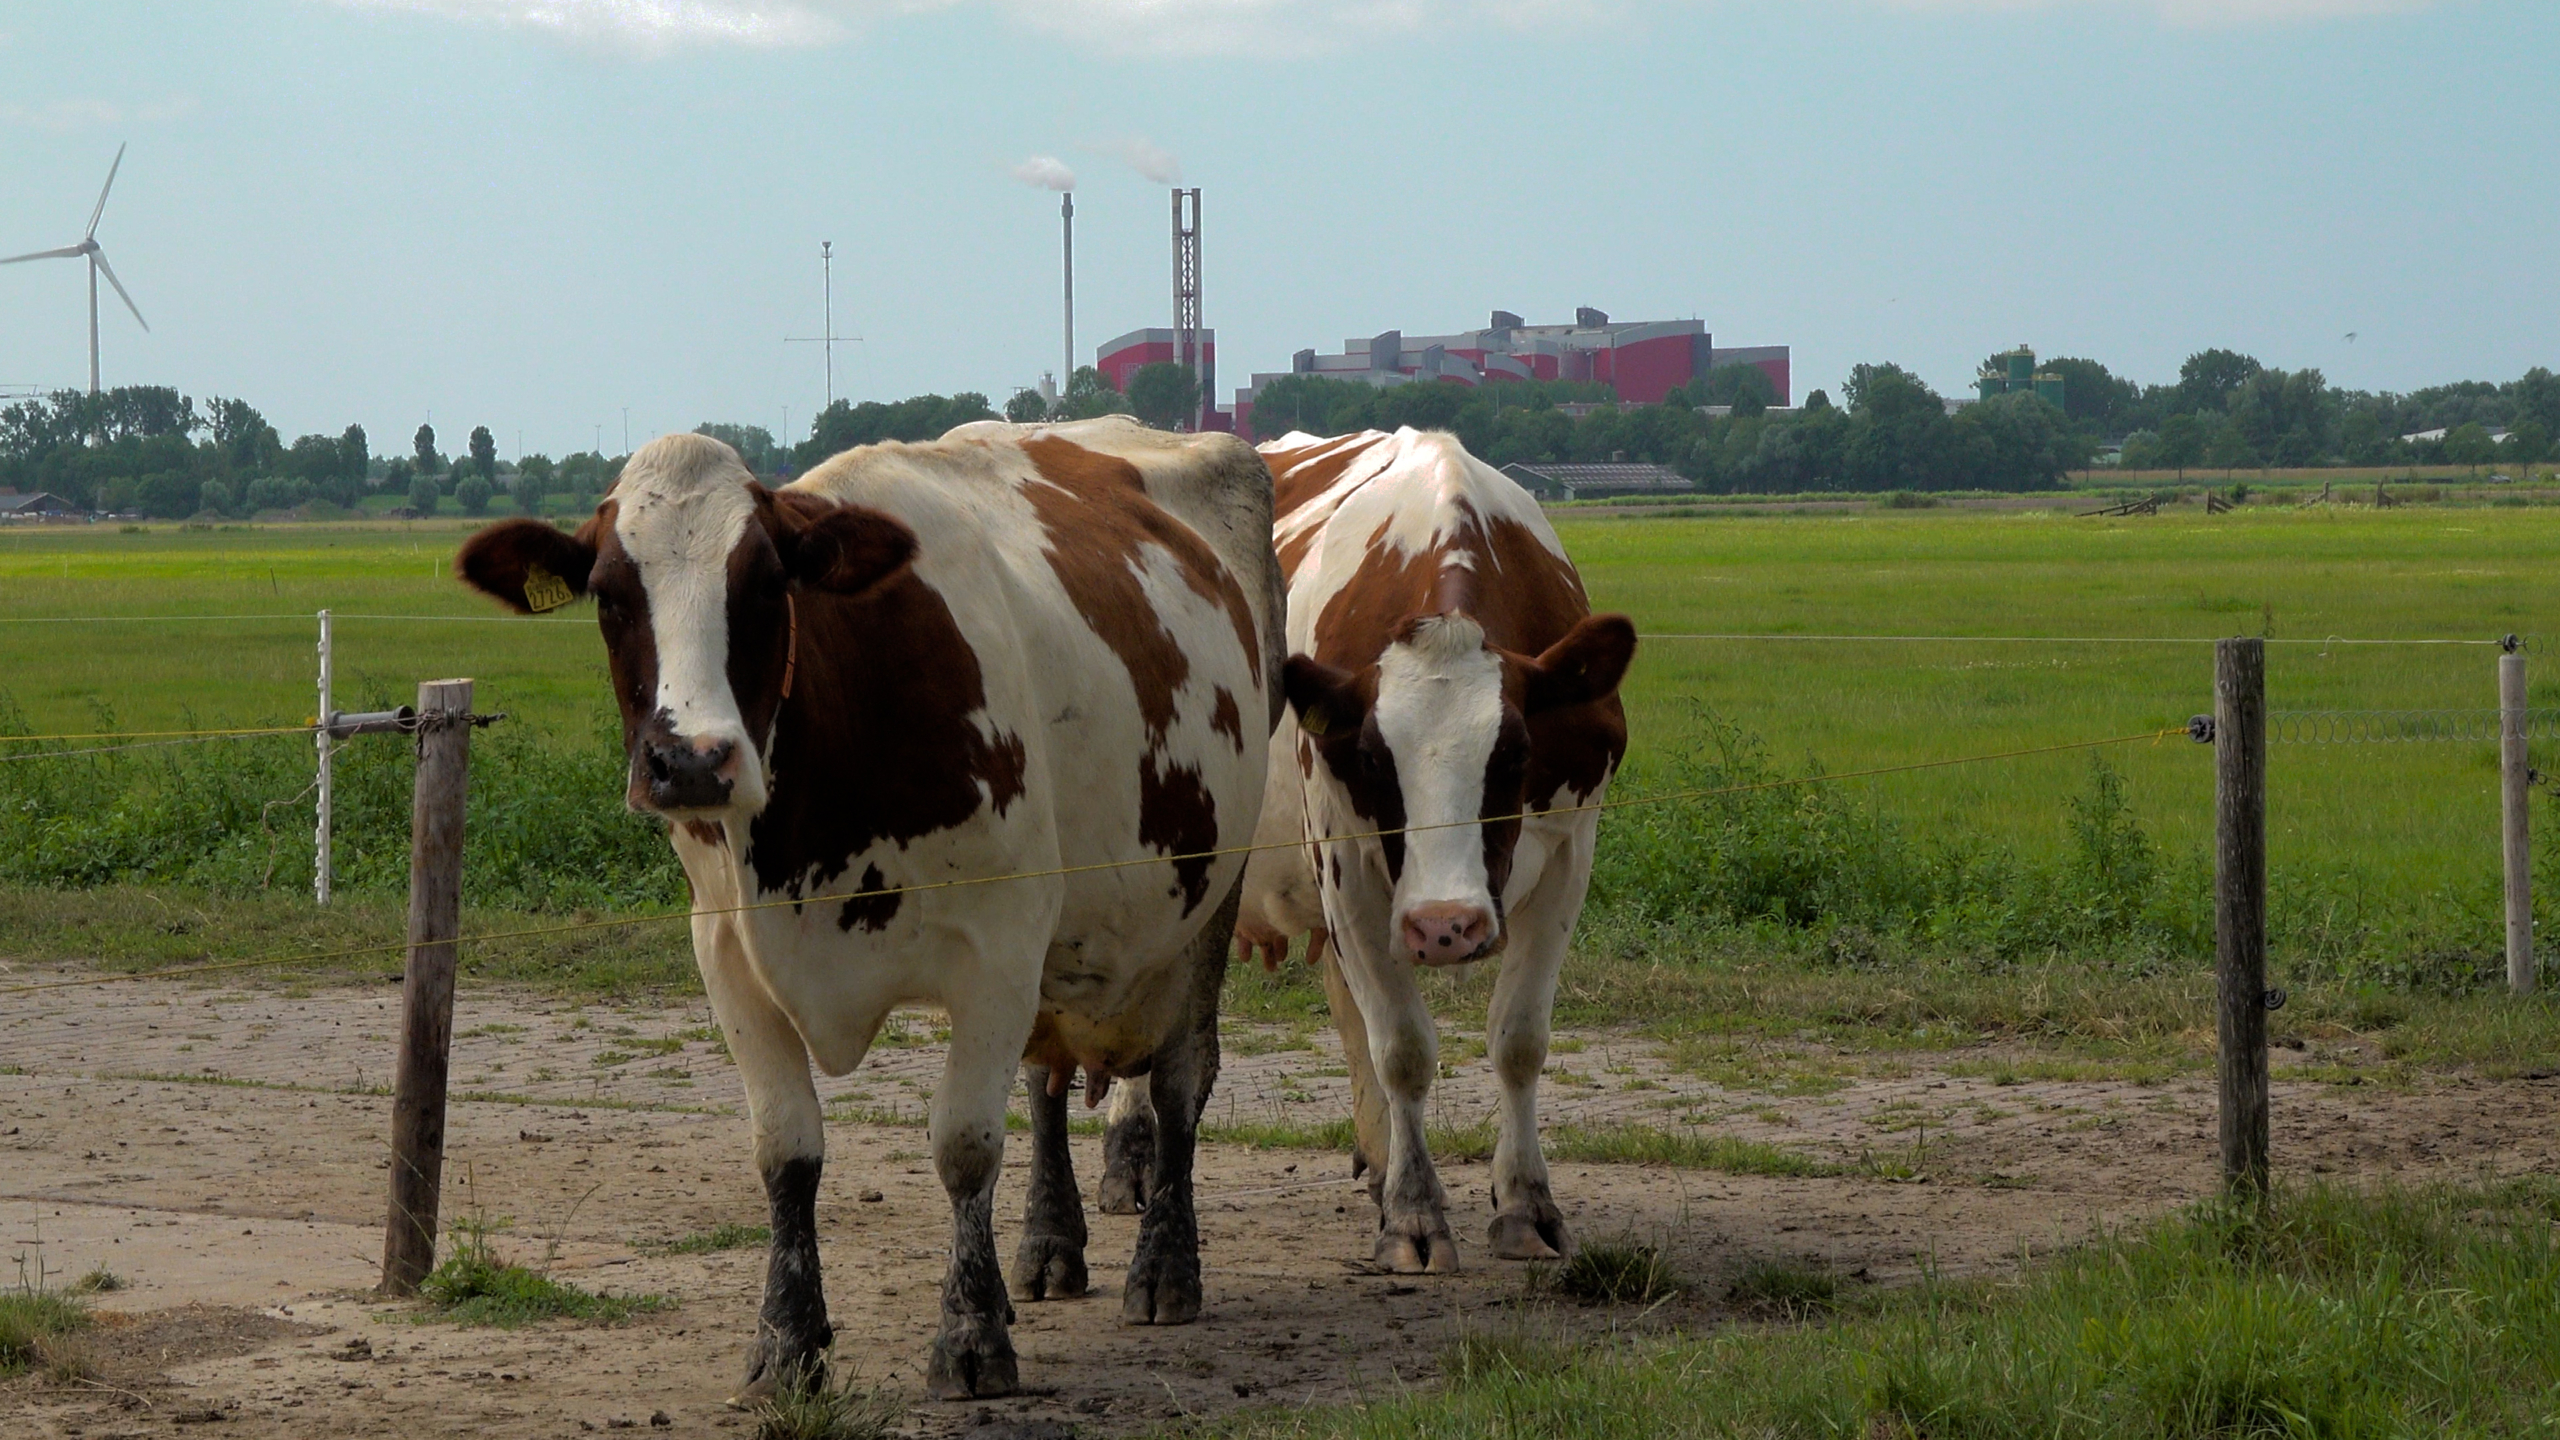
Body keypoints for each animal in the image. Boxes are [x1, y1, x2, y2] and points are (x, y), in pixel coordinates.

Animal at [452, 419, 1281, 1401]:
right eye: (612, 595)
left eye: (766, 584)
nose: (691, 761)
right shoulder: (726, 955)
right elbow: (786, 1151)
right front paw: (787, 1341)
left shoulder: (998, 948)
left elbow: (965, 1144)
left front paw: (970, 1336)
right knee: (1044, 1089)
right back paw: (1046, 1248)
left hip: (1210, 895)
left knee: (1182, 1078)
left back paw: (1164, 1270)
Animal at [1102, 427, 1631, 1272]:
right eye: (1375, 759)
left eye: (1514, 752)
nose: (1444, 926)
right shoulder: (1345, 860)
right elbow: (1404, 1049)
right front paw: (1413, 1215)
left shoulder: (1569, 854)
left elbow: (1518, 1040)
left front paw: (1524, 1204)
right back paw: (1128, 1156)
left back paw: (1378, 1159)